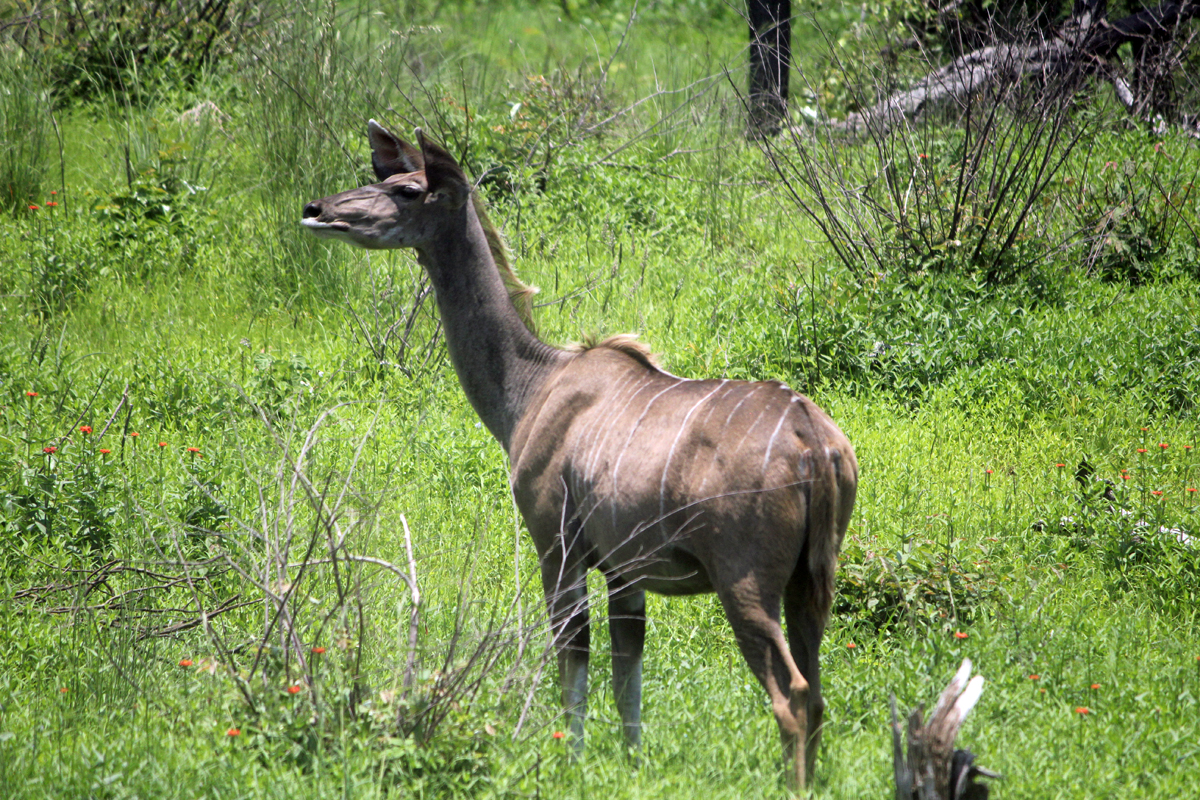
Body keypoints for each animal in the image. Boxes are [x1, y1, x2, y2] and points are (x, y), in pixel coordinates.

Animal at [304, 123, 859, 786]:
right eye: (387, 178)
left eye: (409, 190)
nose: (317, 210)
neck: (533, 386)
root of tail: (815, 444)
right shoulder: (625, 570)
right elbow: (627, 678)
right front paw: (632, 767)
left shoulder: (556, 544)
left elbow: (572, 662)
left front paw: (570, 763)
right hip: (810, 583)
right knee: (818, 691)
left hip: (745, 582)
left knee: (793, 694)